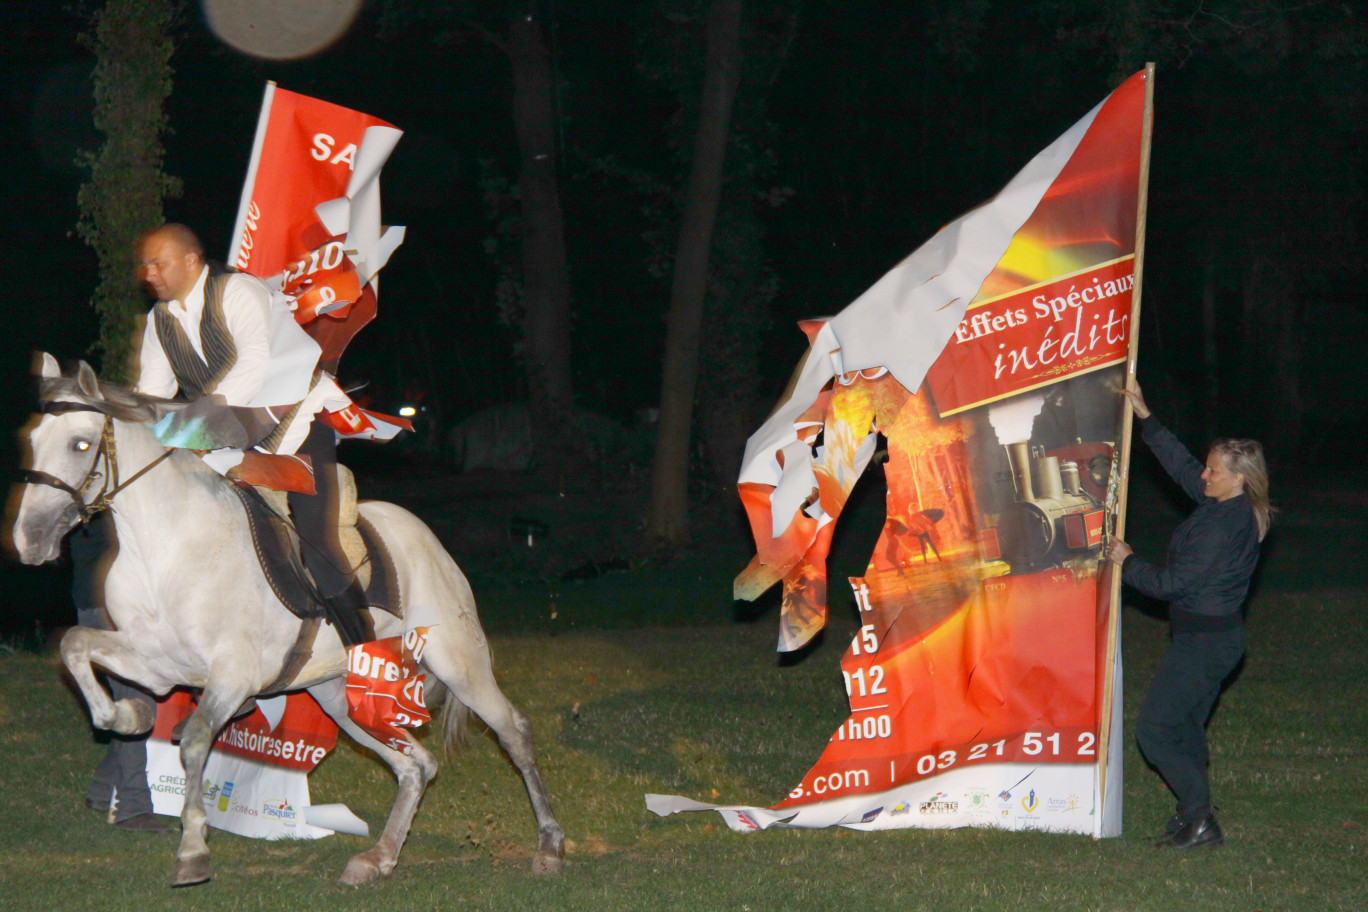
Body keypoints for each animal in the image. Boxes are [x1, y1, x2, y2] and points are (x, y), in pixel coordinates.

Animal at [10, 355, 560, 886]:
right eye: (33, 442)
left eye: (81, 444)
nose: (28, 540)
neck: (164, 548)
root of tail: (428, 540)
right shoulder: (156, 664)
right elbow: (76, 645)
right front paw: (129, 717)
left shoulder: (233, 674)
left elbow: (195, 740)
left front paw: (193, 848)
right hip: (342, 698)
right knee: (415, 766)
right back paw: (378, 858)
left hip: (459, 663)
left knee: (512, 732)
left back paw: (549, 846)